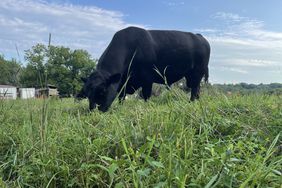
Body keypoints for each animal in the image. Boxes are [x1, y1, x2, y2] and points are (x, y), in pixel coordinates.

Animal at [76, 26, 210, 111]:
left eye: (102, 91)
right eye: (87, 93)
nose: (93, 111)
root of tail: (199, 36)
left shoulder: (147, 79)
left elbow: (146, 96)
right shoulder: (123, 82)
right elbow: (121, 98)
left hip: (197, 73)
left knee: (194, 90)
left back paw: (191, 103)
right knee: (197, 90)